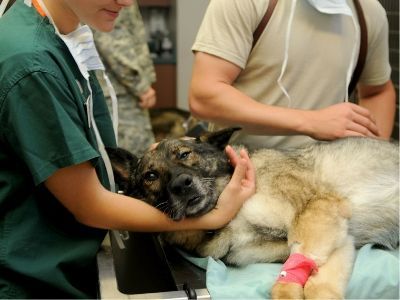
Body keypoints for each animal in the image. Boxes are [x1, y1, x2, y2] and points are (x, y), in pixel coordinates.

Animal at [107, 127, 400, 298]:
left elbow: (300, 282)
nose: (181, 184)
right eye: (150, 176)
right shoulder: (336, 238)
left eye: (184, 154)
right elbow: (315, 280)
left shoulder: (317, 211)